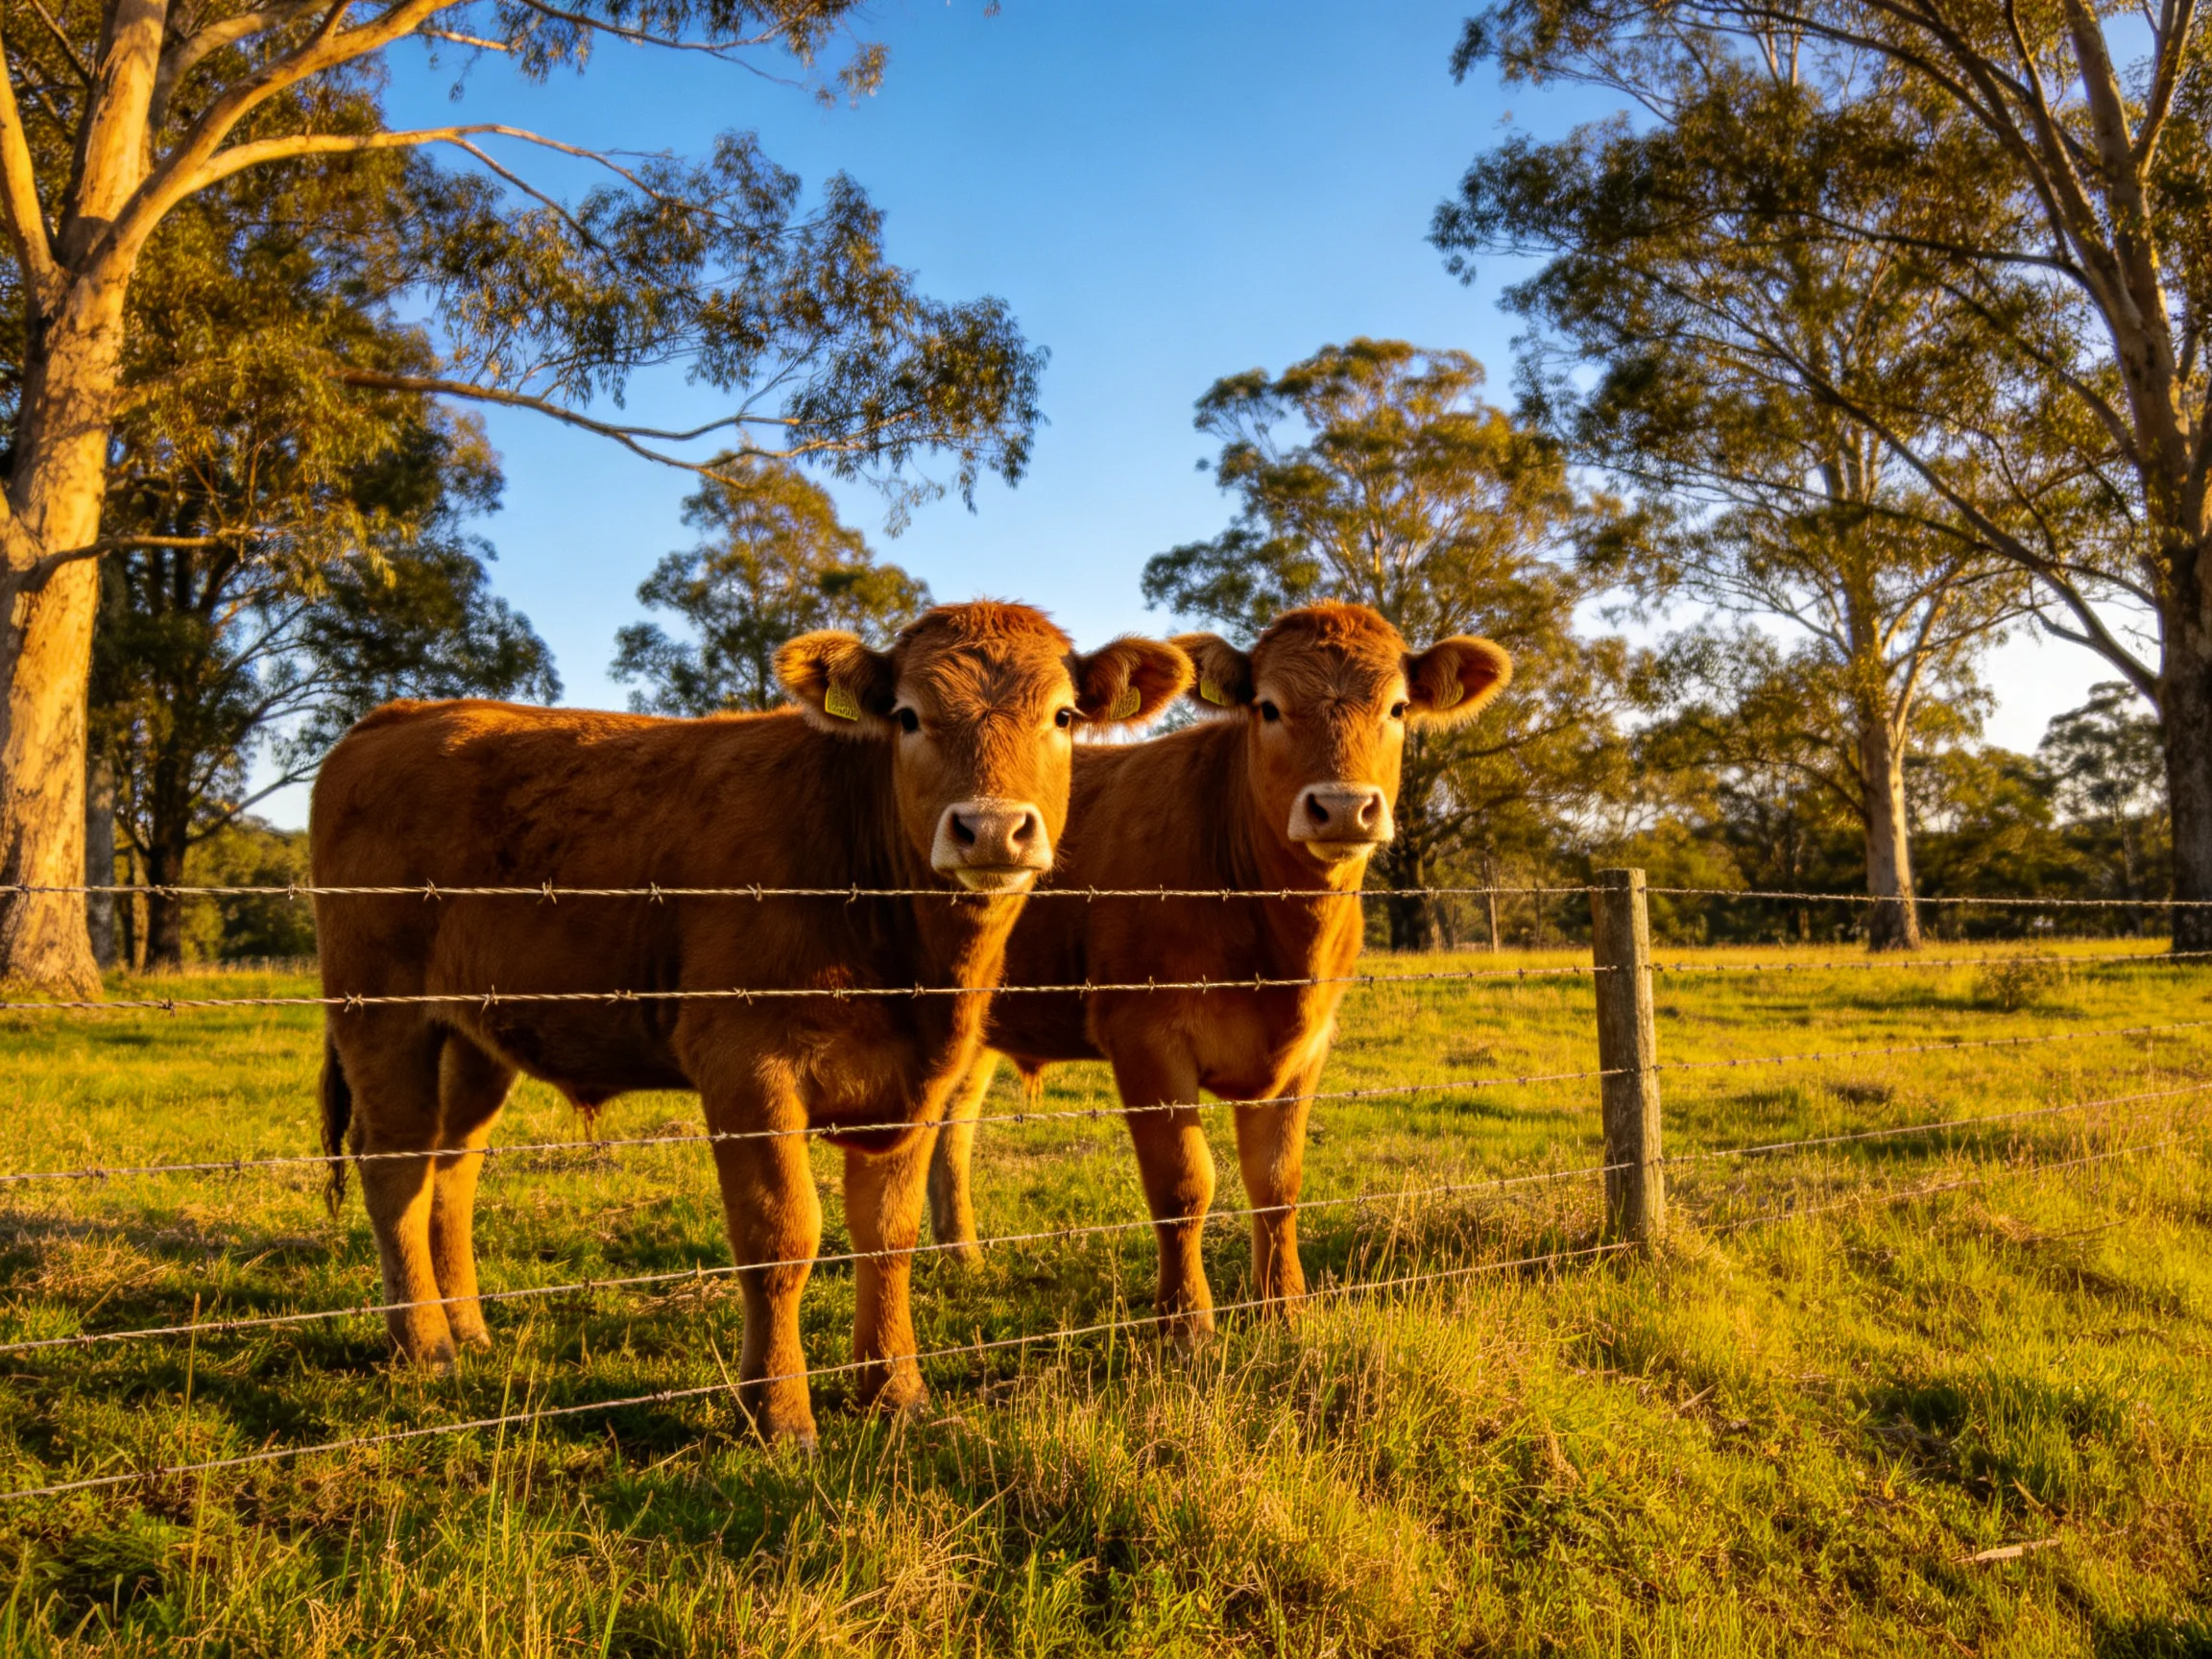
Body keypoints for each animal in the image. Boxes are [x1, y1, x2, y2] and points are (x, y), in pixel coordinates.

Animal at [310, 601, 1191, 1445]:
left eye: (1064, 715)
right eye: (908, 716)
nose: (993, 828)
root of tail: (400, 714)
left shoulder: (916, 1082)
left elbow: (889, 1235)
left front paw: (896, 1392)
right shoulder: (746, 1065)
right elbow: (782, 1238)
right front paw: (779, 1414)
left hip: (472, 1037)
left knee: (450, 1166)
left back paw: (466, 1326)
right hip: (381, 1015)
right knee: (393, 1163)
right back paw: (424, 1344)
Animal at [926, 603, 1510, 1336]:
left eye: (1399, 707)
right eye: (1269, 707)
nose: (1343, 807)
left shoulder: (1310, 1043)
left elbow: (1277, 1181)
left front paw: (1284, 1306)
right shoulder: (1144, 1036)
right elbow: (1184, 1185)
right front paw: (1186, 1324)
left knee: (950, 1129)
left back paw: (962, 1259)